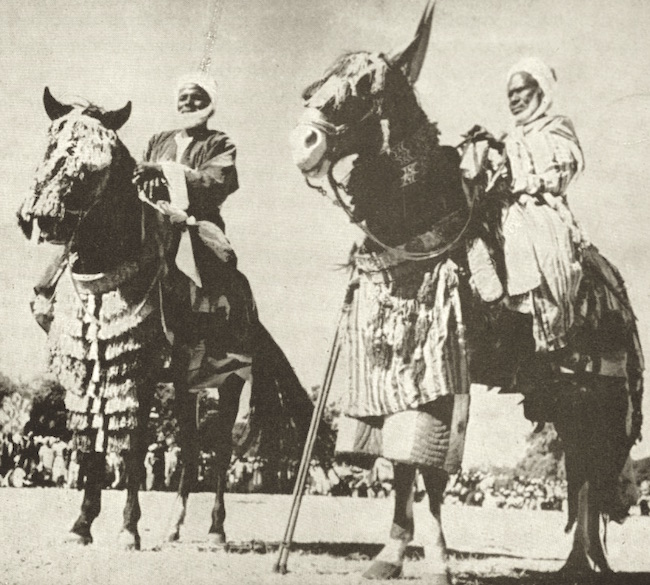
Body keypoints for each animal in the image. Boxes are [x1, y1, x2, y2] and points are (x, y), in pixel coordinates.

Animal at [19, 85, 312, 548]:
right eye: (51, 146)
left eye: (99, 163)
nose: (45, 218)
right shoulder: (95, 365)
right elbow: (93, 444)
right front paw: (83, 524)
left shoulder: (138, 368)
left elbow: (134, 448)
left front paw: (128, 528)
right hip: (186, 384)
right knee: (191, 448)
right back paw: (174, 527)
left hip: (229, 381)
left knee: (220, 452)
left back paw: (215, 530)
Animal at [292, 0, 640, 580]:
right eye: (321, 82)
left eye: (363, 88)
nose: (304, 142)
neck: (416, 220)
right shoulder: (379, 369)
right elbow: (400, 466)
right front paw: (390, 556)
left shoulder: (447, 367)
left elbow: (428, 466)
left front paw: (437, 560)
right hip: (568, 399)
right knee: (583, 471)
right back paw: (578, 563)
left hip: (603, 397)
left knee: (593, 471)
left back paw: (588, 563)